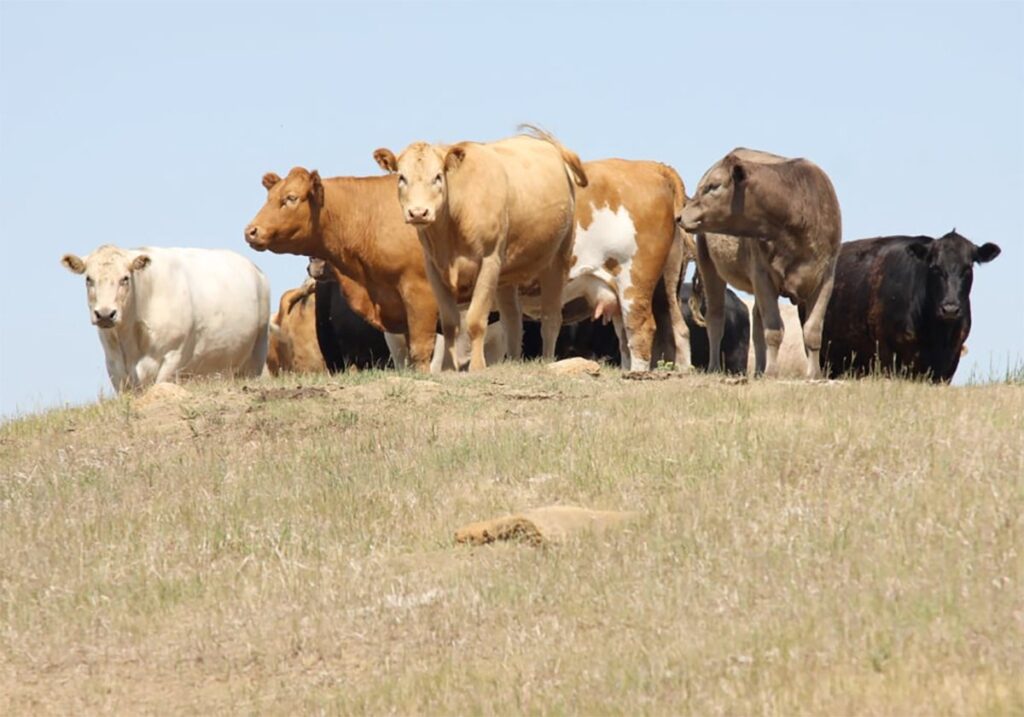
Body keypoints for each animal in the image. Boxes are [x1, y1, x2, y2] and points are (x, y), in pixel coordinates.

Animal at [61, 245, 269, 391]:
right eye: (89, 279)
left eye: (125, 278)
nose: (105, 314)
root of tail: (255, 269)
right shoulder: (114, 365)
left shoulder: (173, 356)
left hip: (256, 353)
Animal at [374, 127, 588, 370]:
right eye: (401, 177)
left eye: (438, 177)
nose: (418, 212)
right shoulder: (434, 268)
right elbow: (449, 323)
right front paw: (449, 368)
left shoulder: (489, 260)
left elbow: (476, 319)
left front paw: (476, 366)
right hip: (506, 273)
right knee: (512, 321)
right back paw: (513, 361)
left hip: (558, 257)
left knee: (551, 317)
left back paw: (548, 360)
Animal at [678, 148, 841, 379]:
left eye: (714, 186)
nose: (680, 216)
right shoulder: (763, 276)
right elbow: (773, 330)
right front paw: (772, 372)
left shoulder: (826, 277)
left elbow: (812, 330)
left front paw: (814, 374)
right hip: (709, 266)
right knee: (716, 318)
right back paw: (715, 367)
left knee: (756, 324)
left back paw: (758, 370)